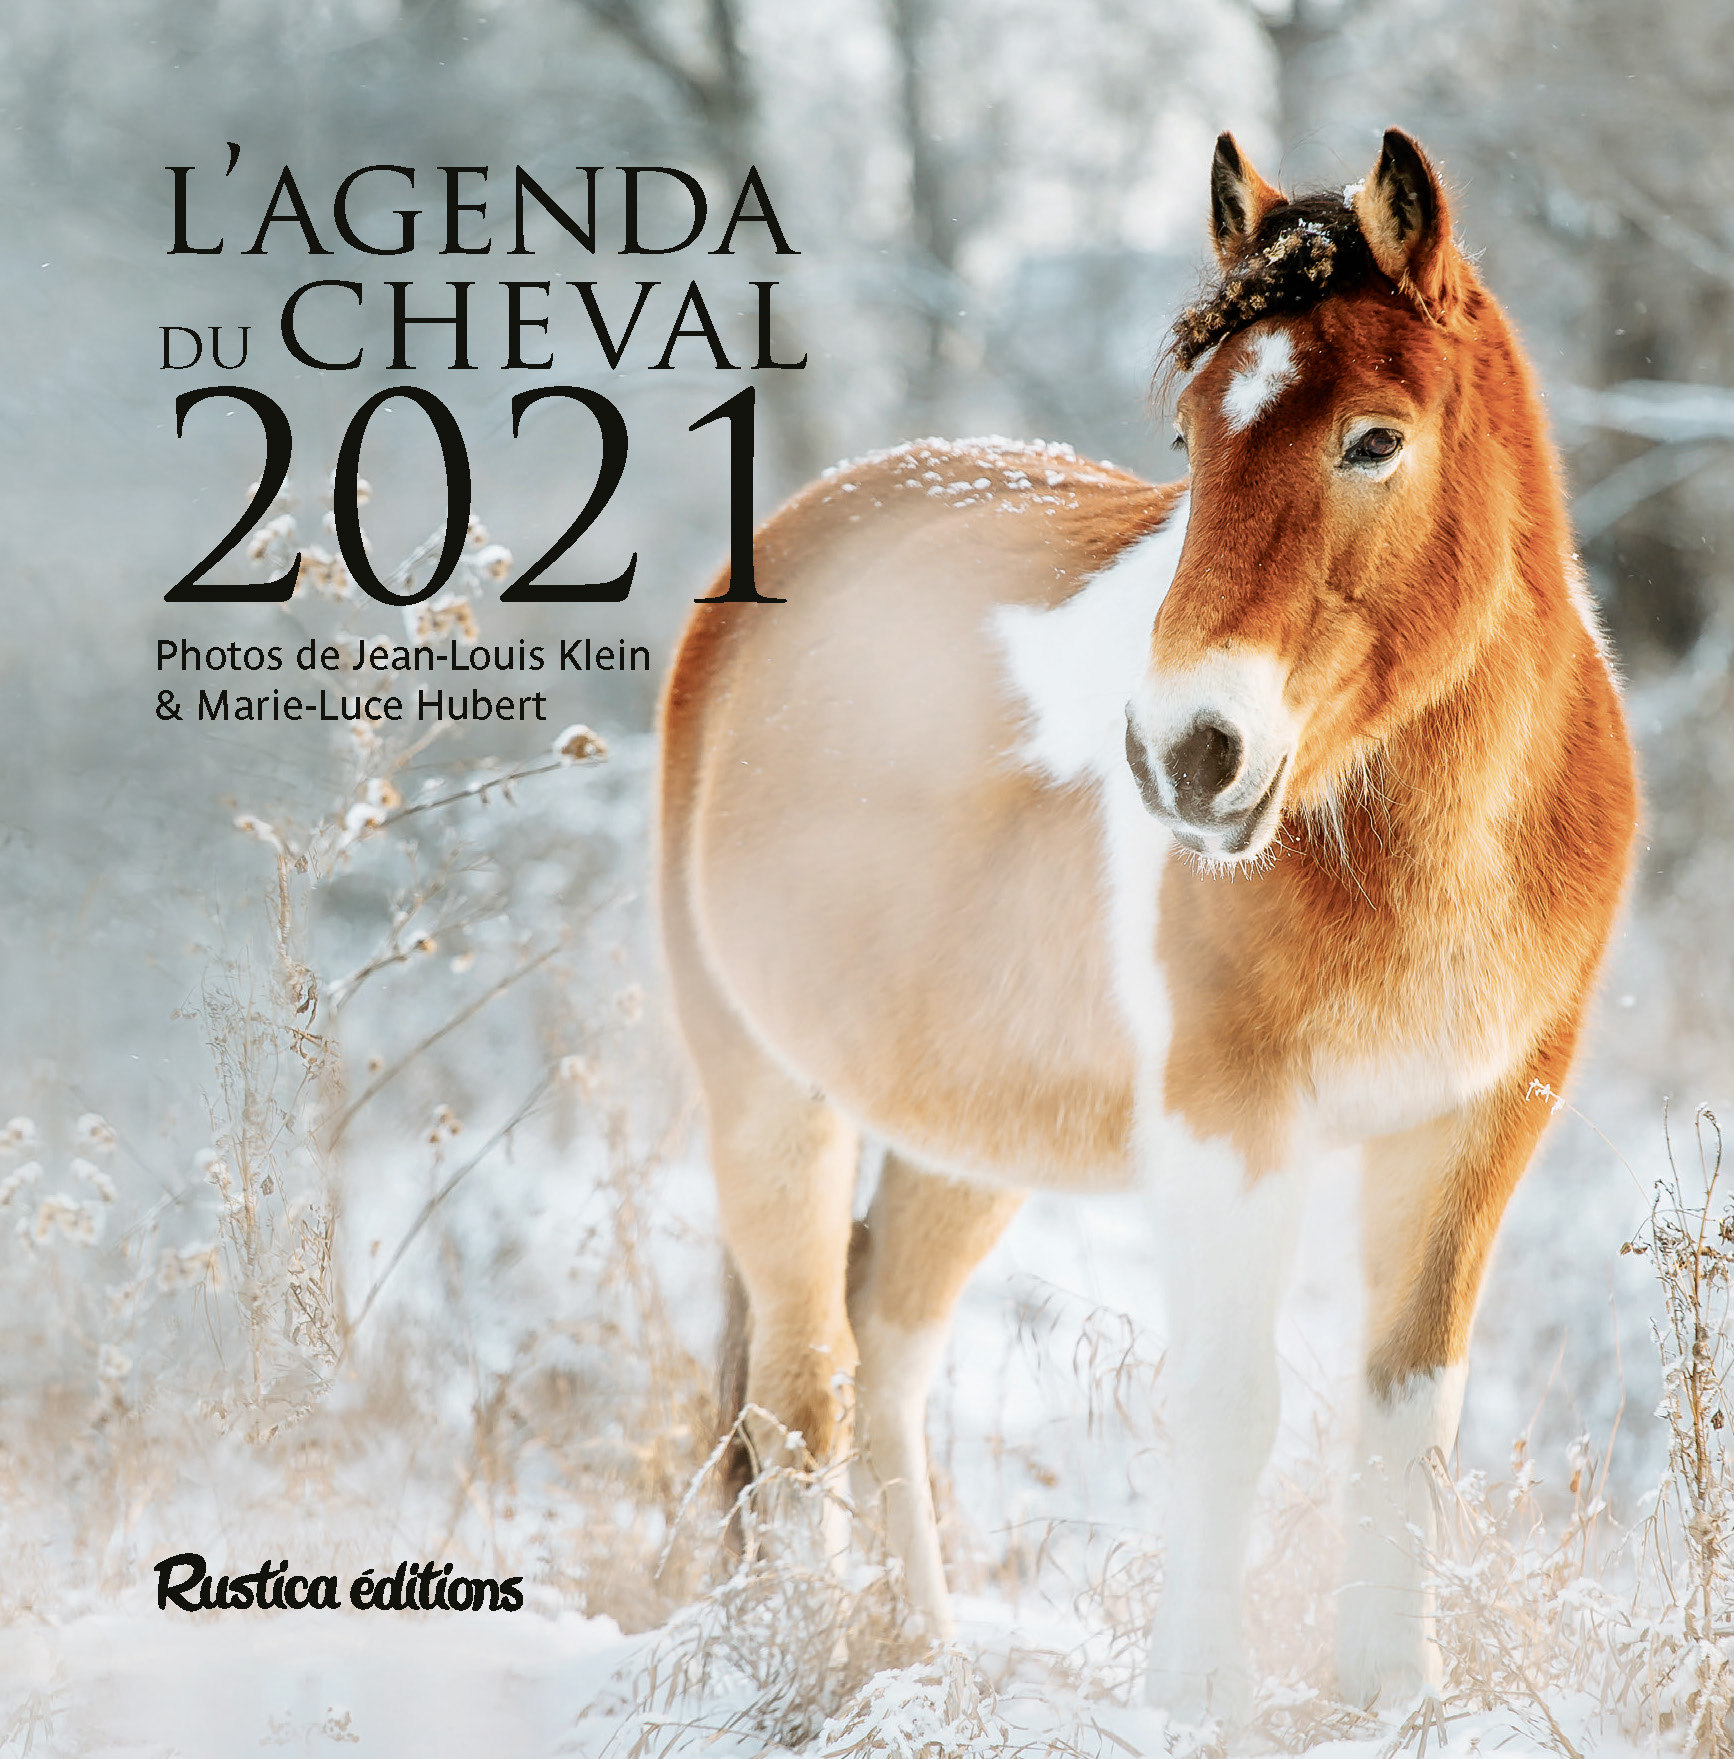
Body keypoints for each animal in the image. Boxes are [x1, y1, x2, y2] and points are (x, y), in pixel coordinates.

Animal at [656, 128, 1636, 1721]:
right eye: (1187, 438)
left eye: (1374, 439)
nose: (1188, 752)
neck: (1426, 845)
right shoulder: (1227, 1118)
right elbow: (1231, 1404)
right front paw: (1199, 1694)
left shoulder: (1478, 1123)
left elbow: (1407, 1412)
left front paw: (1391, 1692)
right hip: (765, 1085)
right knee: (801, 1385)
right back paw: (806, 1666)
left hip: (960, 1126)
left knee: (884, 1343)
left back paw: (920, 1653)